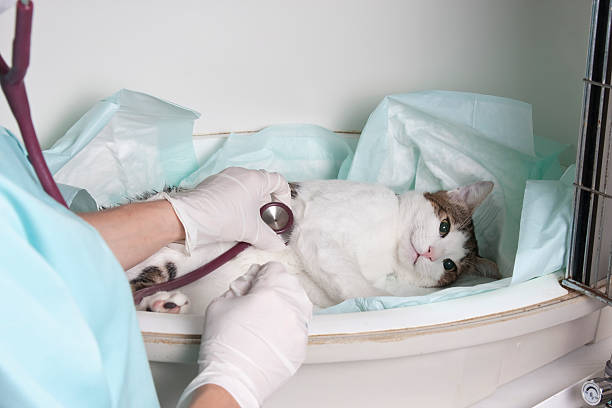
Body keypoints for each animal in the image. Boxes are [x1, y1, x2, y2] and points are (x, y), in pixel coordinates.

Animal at [126, 178, 500, 312]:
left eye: (450, 265)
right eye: (443, 226)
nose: (430, 252)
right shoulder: (317, 233)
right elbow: (355, 283)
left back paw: (165, 305)